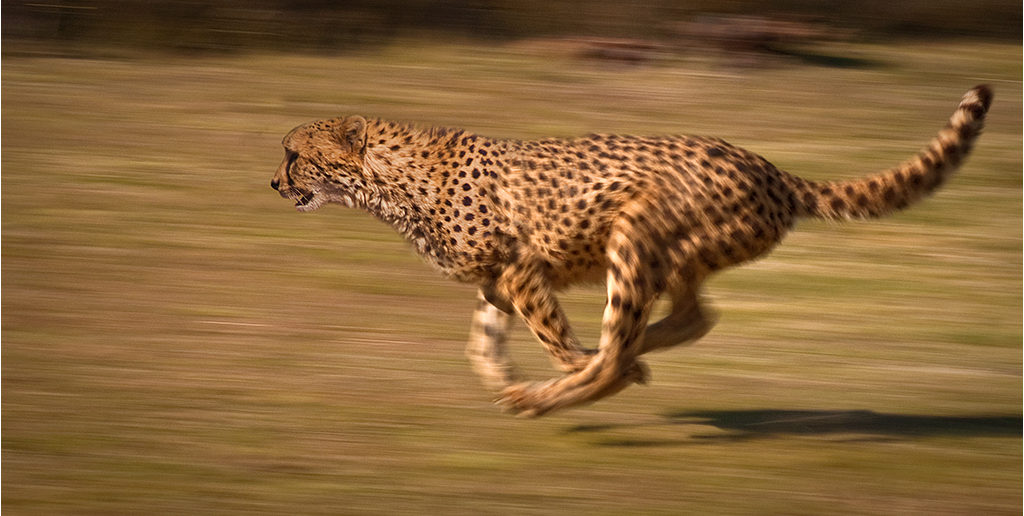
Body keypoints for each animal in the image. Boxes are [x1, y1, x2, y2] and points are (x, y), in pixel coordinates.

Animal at [271, 86, 992, 417]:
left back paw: (572, 386)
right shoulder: (497, 280)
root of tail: (770, 168)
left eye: (293, 154)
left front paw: (553, 377)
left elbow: (554, 338)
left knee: (623, 344)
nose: (274, 183)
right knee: (694, 316)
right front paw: (503, 379)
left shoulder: (521, 269)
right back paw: (626, 355)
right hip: (680, 256)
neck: (390, 180)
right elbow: (481, 344)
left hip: (635, 230)